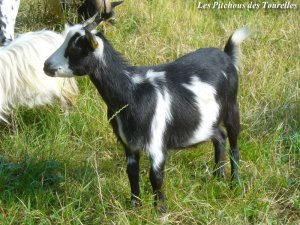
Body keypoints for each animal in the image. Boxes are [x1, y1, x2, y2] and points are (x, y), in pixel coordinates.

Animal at [43, 19, 250, 213]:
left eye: (76, 47)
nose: (46, 66)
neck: (132, 91)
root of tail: (226, 56)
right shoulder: (128, 143)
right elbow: (132, 172)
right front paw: (135, 207)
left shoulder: (156, 142)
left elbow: (155, 177)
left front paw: (160, 212)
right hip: (207, 122)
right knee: (219, 137)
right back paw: (218, 177)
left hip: (232, 107)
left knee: (234, 145)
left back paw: (235, 184)